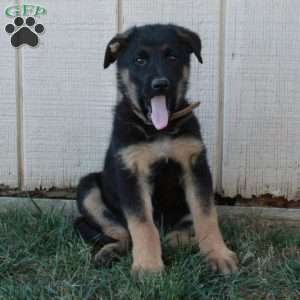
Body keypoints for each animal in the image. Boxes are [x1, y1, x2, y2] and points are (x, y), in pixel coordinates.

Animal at [75, 23, 239, 276]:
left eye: (172, 57)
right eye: (139, 60)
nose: (160, 85)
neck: (158, 130)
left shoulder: (195, 168)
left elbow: (206, 216)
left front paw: (218, 254)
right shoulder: (132, 174)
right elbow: (142, 224)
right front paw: (148, 266)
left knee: (181, 229)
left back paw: (180, 241)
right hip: (88, 188)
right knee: (121, 233)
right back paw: (109, 251)